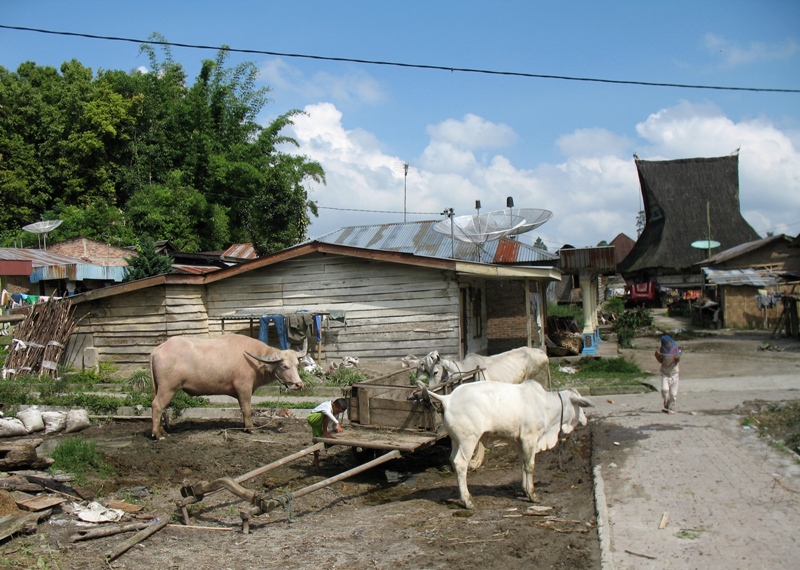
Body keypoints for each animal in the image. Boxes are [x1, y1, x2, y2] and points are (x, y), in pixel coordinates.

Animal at [150, 330, 306, 438]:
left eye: (297, 364)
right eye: (284, 366)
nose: (298, 384)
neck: (255, 361)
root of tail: (157, 350)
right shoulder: (244, 388)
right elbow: (246, 409)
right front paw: (250, 428)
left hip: (161, 388)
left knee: (162, 408)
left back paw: (162, 430)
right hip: (168, 388)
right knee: (157, 405)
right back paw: (157, 435)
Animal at [418, 380, 592, 508]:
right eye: (580, 405)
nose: (586, 418)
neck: (544, 405)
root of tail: (448, 398)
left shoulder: (519, 442)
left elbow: (523, 464)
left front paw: (524, 490)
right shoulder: (530, 438)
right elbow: (530, 466)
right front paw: (532, 494)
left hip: (456, 440)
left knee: (452, 460)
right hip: (469, 440)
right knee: (461, 463)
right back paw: (467, 500)